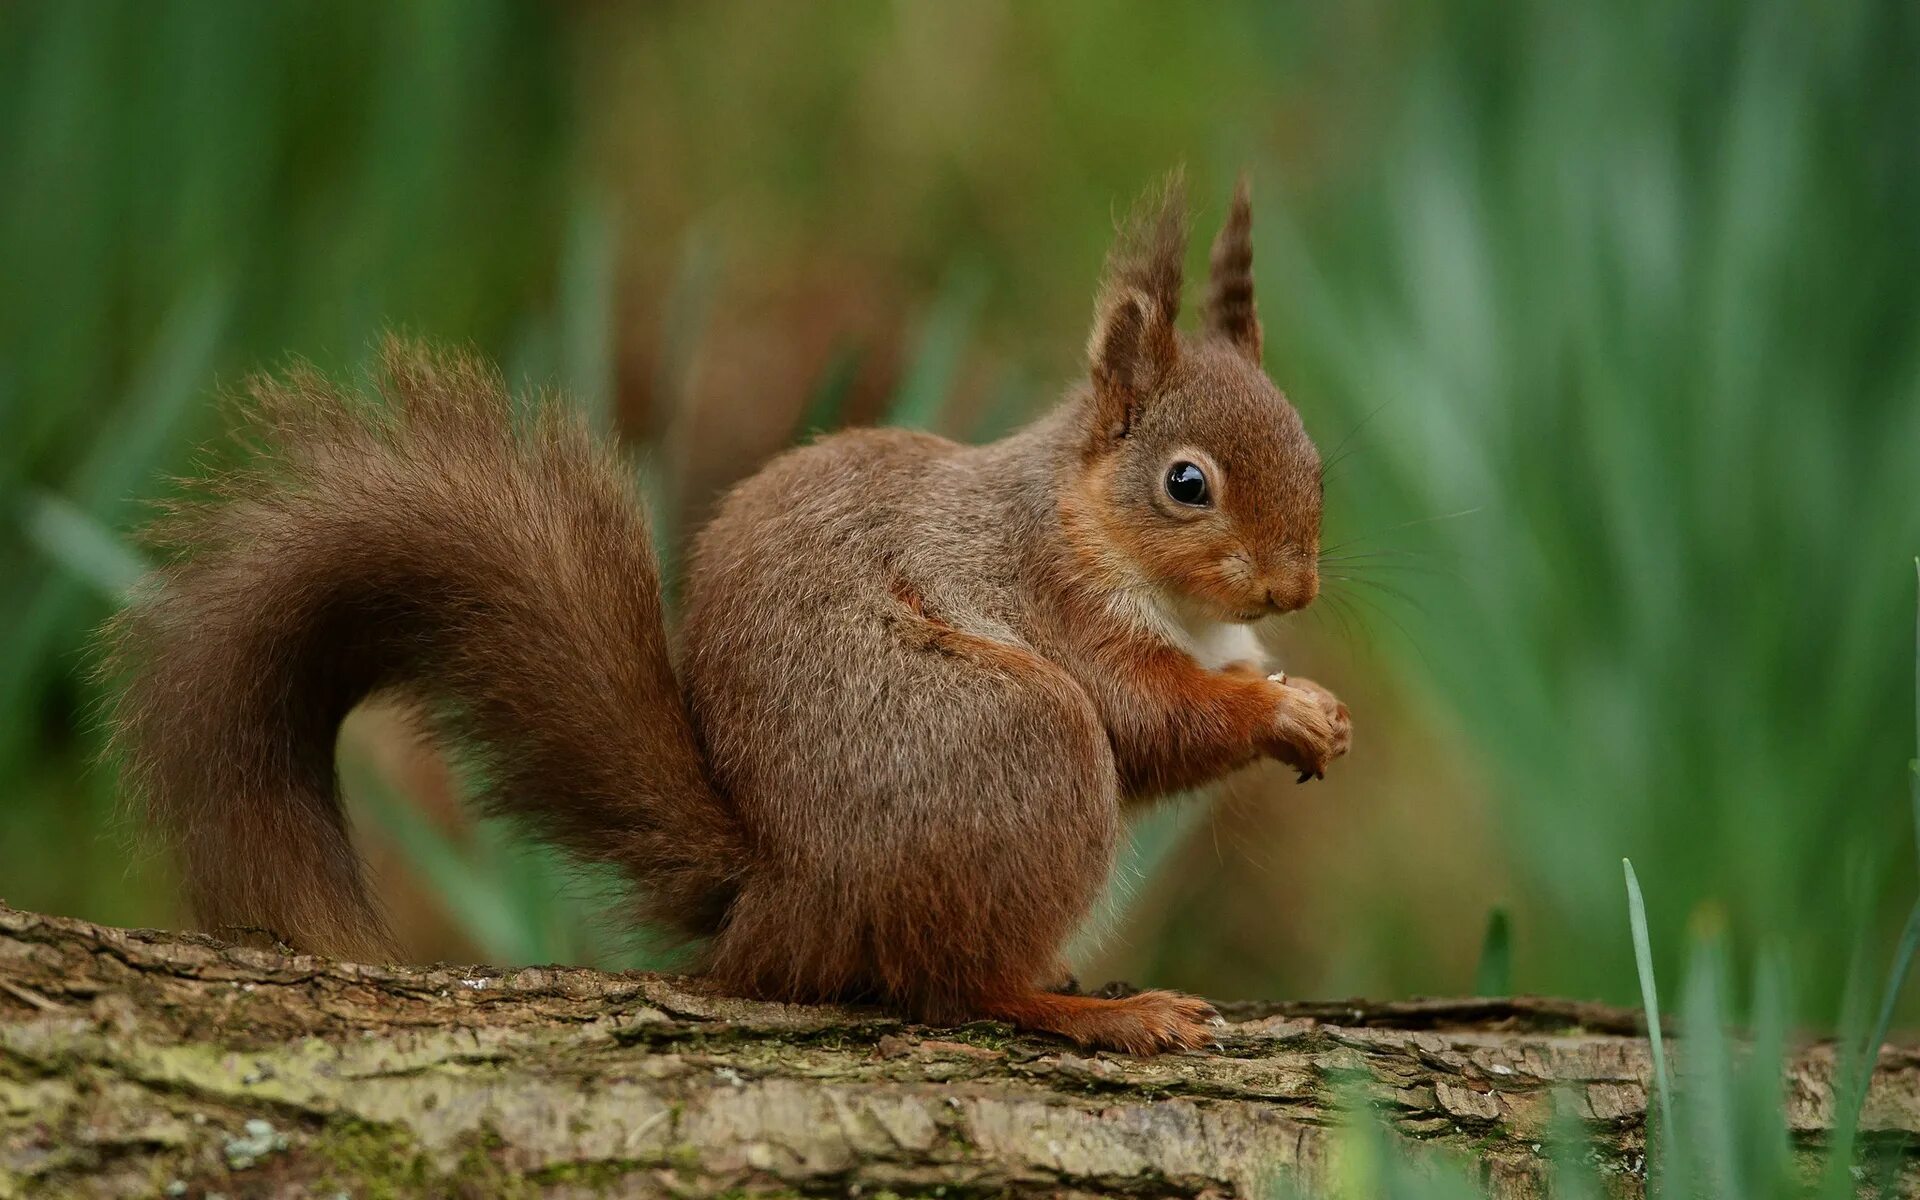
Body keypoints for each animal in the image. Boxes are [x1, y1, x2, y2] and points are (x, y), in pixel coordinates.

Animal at [101, 175, 1351, 1044]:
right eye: (1186, 483)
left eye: (1317, 458)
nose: (1291, 588)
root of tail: (781, 898)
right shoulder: (1050, 604)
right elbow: (1149, 718)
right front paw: (1274, 715)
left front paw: (1312, 704)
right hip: (1019, 747)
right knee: (957, 984)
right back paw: (1098, 1013)